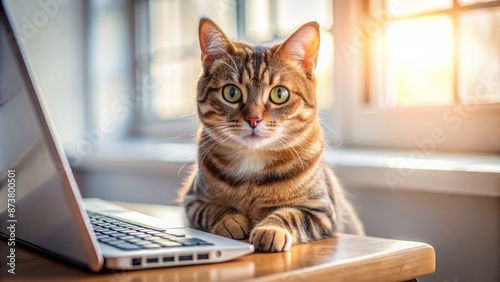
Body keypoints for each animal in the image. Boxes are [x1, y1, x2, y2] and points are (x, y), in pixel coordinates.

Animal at [179, 16, 364, 252]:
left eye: (279, 94)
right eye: (231, 92)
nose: (253, 119)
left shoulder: (322, 211)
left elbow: (291, 215)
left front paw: (270, 229)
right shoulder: (192, 199)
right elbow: (212, 209)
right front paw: (230, 220)